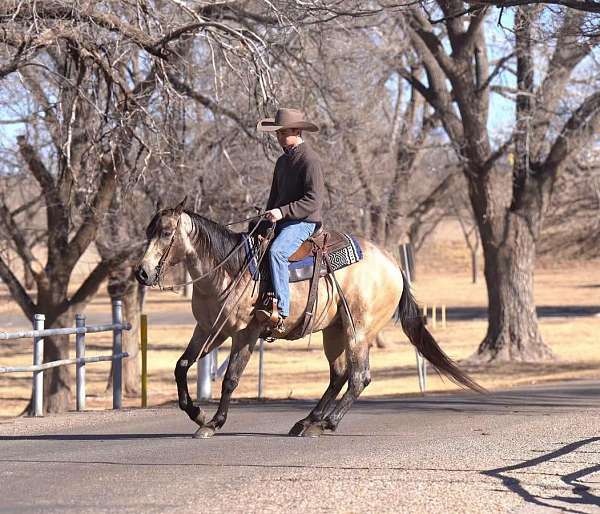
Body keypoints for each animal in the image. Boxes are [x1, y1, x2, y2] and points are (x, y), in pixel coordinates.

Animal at [136, 199, 482, 436]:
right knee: (339, 375)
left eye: (165, 232)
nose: (142, 273)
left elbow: (231, 378)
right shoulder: (210, 329)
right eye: (147, 231)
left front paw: (214, 422)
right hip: (335, 330)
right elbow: (182, 365)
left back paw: (325, 423)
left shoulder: (246, 333)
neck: (228, 270)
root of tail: (393, 264)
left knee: (359, 377)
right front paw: (195, 411)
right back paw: (308, 420)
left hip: (359, 331)